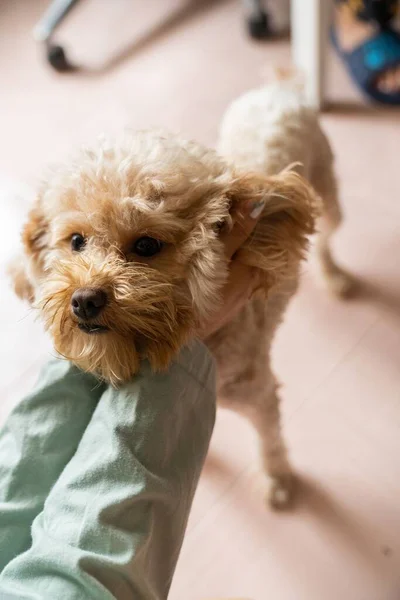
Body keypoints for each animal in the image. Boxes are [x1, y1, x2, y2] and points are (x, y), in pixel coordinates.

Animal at [8, 125, 318, 506]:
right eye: (77, 241)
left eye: (146, 245)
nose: (84, 300)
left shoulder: (260, 396)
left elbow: (270, 440)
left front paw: (278, 479)